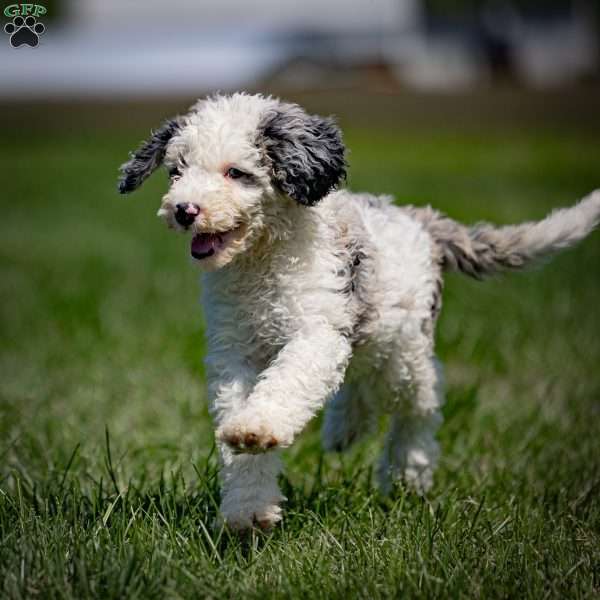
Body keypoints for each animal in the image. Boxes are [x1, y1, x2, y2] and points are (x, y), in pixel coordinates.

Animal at [118, 92, 600, 528]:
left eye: (237, 172)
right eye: (177, 171)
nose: (184, 210)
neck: (263, 260)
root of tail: (420, 219)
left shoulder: (316, 331)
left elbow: (287, 382)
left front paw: (257, 427)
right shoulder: (234, 351)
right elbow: (237, 426)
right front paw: (247, 509)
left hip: (402, 351)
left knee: (422, 399)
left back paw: (407, 471)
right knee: (360, 381)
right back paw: (344, 429)